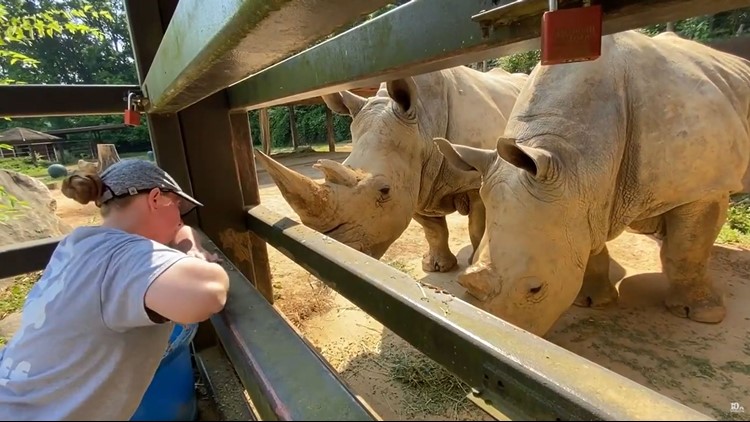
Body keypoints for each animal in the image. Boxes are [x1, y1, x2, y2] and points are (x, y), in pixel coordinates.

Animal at [255, 66, 528, 272]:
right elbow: (433, 229)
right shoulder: (415, 179)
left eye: (384, 190)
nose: (333, 255)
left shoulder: (475, 176)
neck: (423, 127)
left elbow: (477, 226)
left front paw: (472, 266)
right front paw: (437, 267)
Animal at [435, 30, 750, 337]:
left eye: (535, 289)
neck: (573, 158)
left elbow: (687, 248)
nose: (487, 330)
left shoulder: (706, 186)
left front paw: (701, 315)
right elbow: (589, 245)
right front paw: (592, 301)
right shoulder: (582, 192)